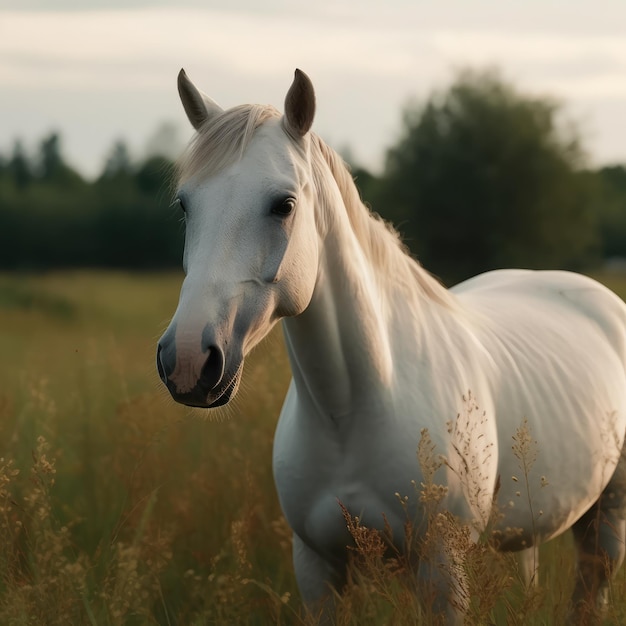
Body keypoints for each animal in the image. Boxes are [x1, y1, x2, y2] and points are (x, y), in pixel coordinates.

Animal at [157, 68, 626, 620]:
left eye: (283, 205)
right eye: (186, 205)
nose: (189, 360)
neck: (351, 408)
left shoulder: (442, 571)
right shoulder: (319, 570)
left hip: (606, 521)